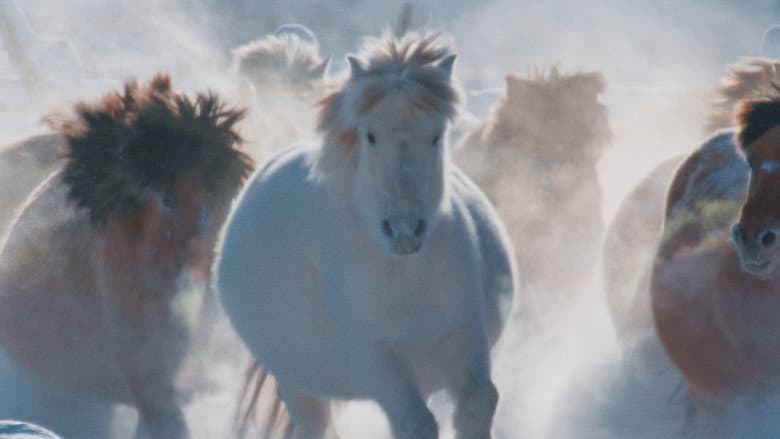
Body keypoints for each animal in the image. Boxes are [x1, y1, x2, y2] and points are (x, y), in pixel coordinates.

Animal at [216, 32, 517, 438]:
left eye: (437, 135)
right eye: (370, 136)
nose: (405, 229)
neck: (406, 275)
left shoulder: (467, 334)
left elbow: (477, 403)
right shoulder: (376, 359)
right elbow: (415, 422)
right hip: (298, 385)